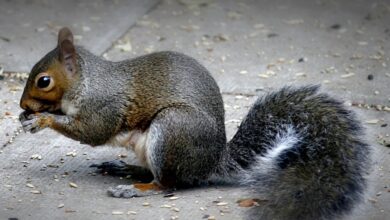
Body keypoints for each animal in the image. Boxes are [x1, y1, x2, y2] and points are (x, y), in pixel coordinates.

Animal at [19, 27, 370, 220]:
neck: (86, 83)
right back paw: (124, 169)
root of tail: (212, 161)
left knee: (169, 185)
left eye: (44, 81)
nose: (22, 106)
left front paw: (41, 119)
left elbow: (92, 132)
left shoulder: (104, 106)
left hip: (173, 129)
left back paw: (134, 189)